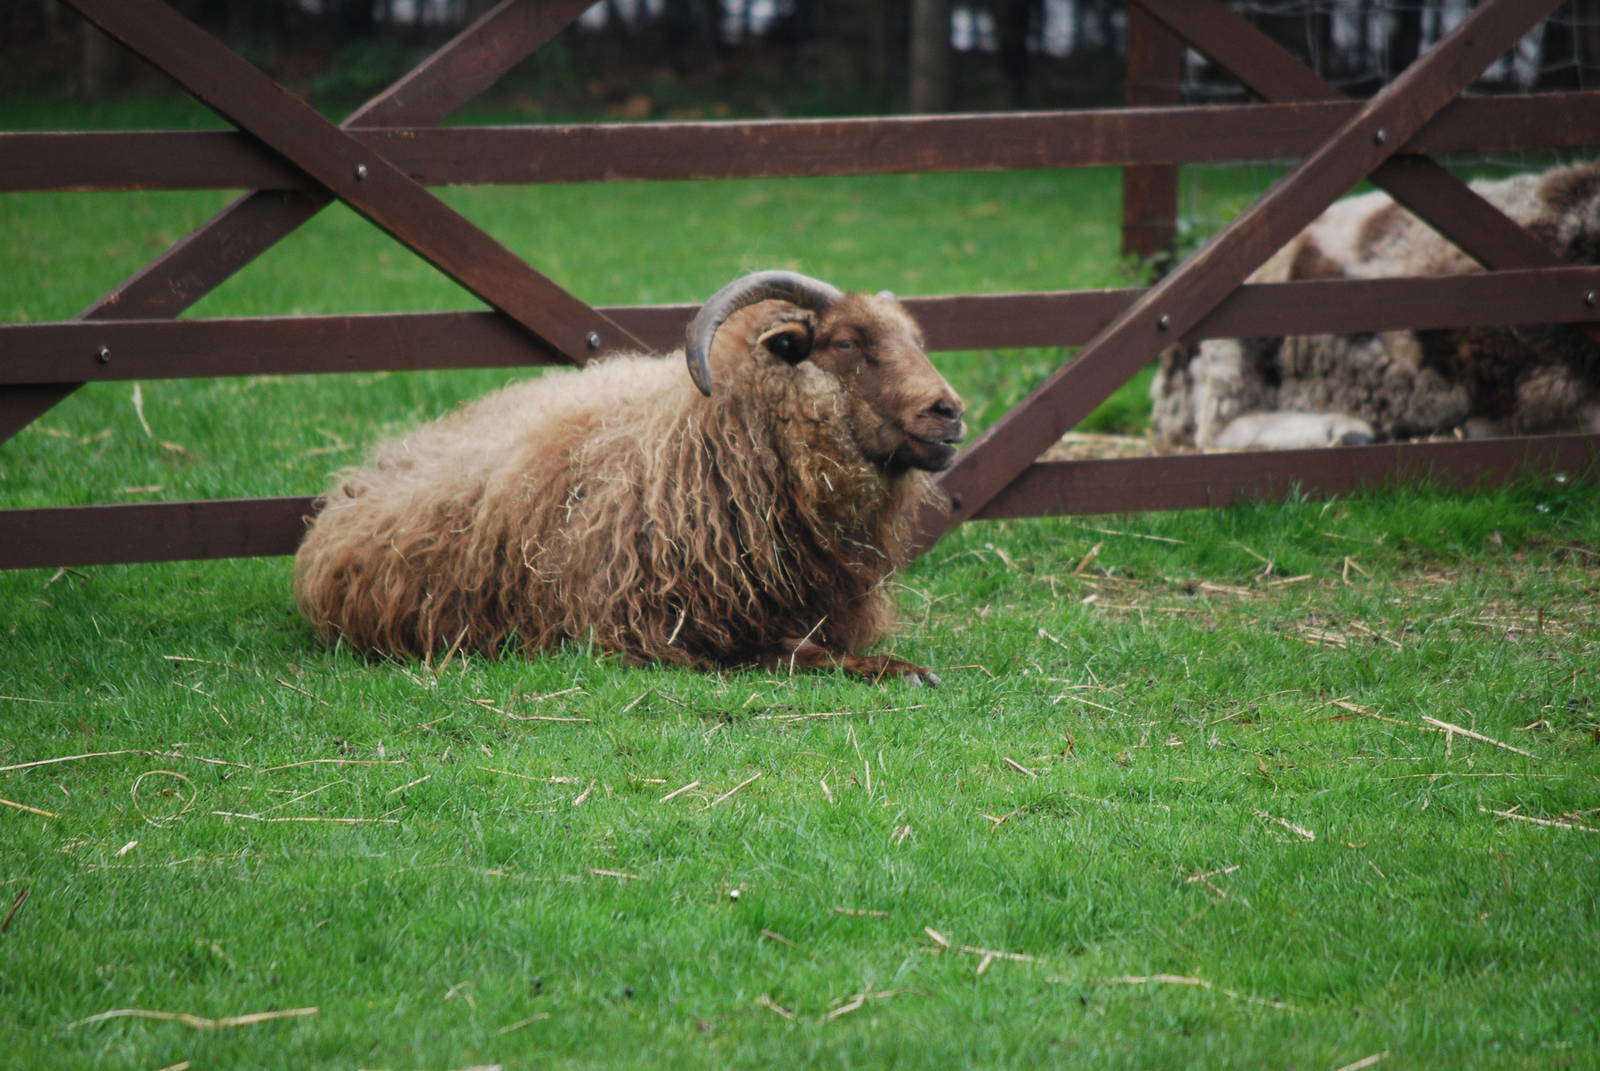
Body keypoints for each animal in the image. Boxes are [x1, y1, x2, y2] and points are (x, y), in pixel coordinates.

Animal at [292, 271, 967, 685]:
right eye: (847, 343)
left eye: (913, 339)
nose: (950, 412)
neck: (710, 437)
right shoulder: (652, 632)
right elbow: (796, 655)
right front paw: (905, 670)